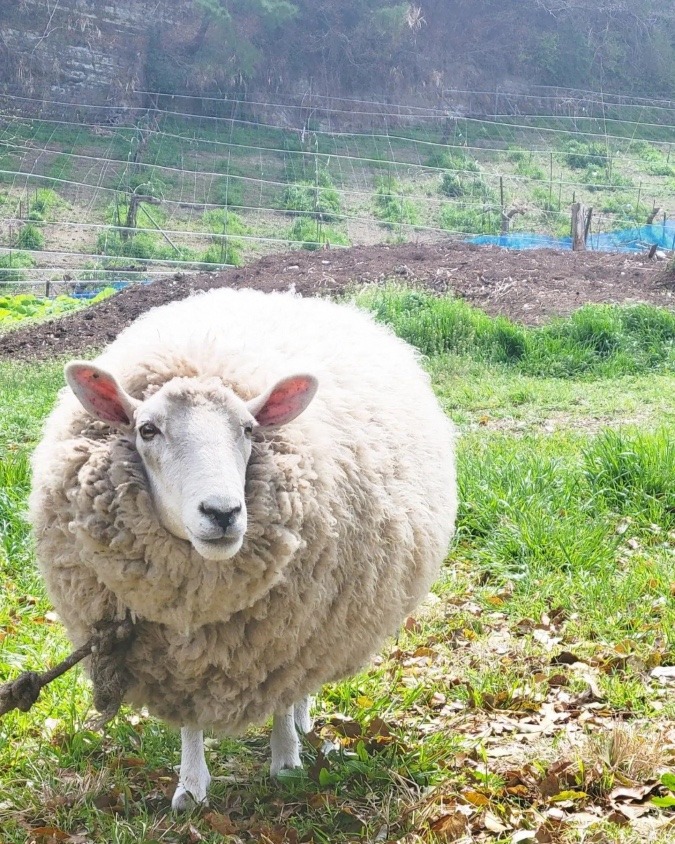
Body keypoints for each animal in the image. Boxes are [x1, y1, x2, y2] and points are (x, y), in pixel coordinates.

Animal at [29, 286, 456, 808]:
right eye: (147, 429)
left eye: (249, 429)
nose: (223, 512)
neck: (197, 600)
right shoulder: (176, 657)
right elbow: (190, 717)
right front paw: (191, 787)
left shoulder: (289, 631)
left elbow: (283, 695)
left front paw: (286, 761)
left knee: (300, 684)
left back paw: (301, 723)